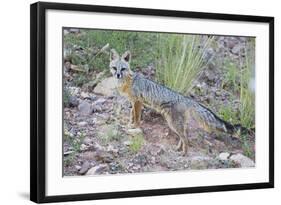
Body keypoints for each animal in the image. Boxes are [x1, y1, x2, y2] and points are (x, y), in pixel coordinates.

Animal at [108, 48, 242, 155]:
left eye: (123, 69)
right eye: (114, 68)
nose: (118, 75)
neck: (127, 82)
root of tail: (187, 99)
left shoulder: (137, 101)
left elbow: (136, 116)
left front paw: (134, 126)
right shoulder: (133, 102)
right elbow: (132, 114)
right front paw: (129, 124)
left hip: (173, 123)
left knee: (185, 138)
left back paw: (184, 153)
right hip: (176, 124)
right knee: (184, 136)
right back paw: (178, 149)